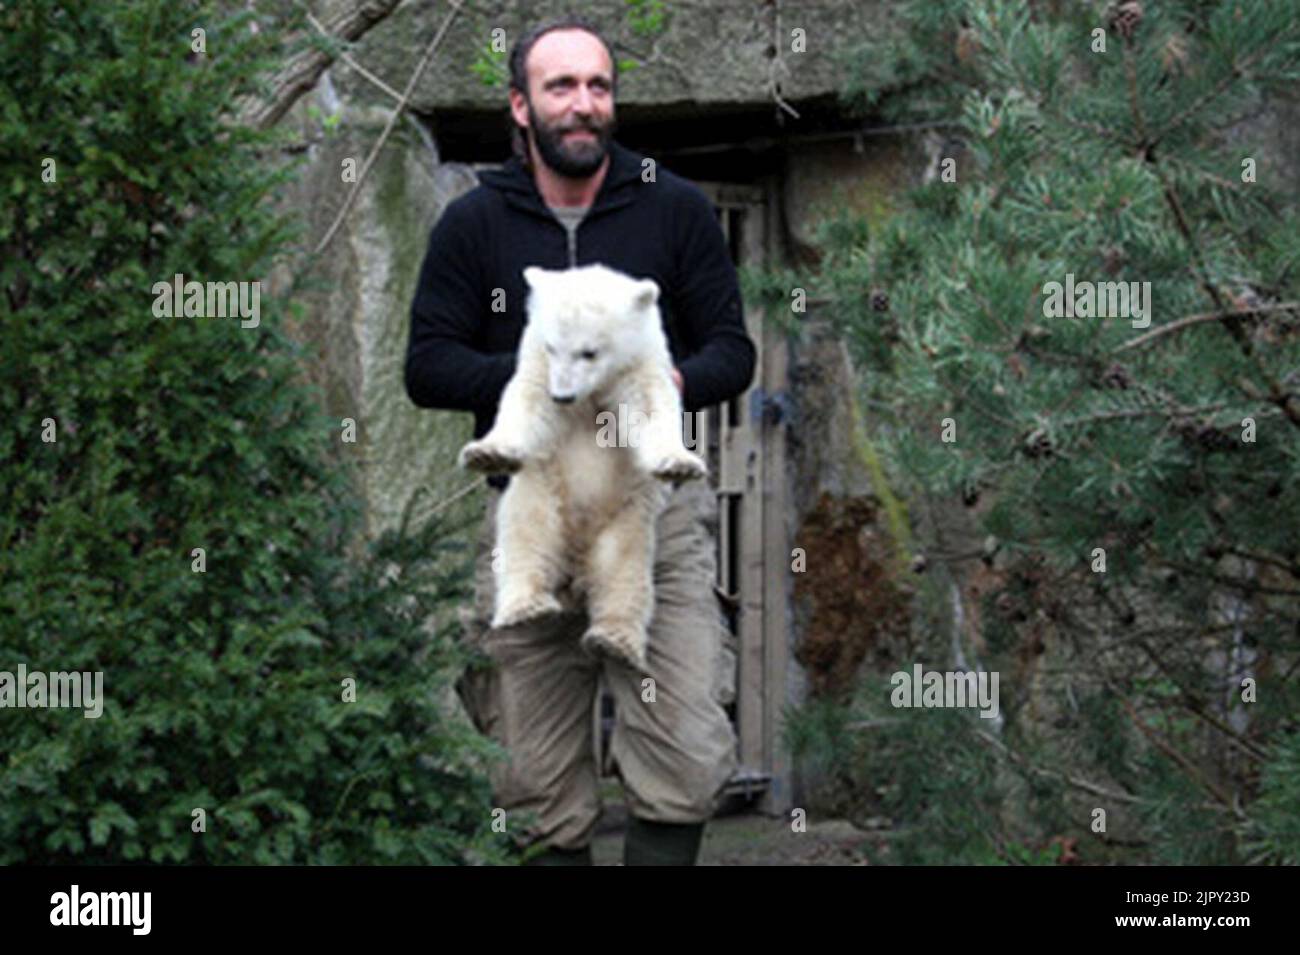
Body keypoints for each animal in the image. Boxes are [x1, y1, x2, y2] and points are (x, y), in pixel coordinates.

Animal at [456, 263, 707, 674]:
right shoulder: (538, 366)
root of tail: (575, 565)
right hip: (540, 494)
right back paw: (525, 607)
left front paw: (678, 464)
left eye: (589, 352)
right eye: (552, 347)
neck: (592, 393)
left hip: (627, 521)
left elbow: (652, 408)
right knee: (527, 540)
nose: (563, 395)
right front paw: (487, 453)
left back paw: (615, 641)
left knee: (623, 575)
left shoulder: (639, 364)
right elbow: (526, 402)